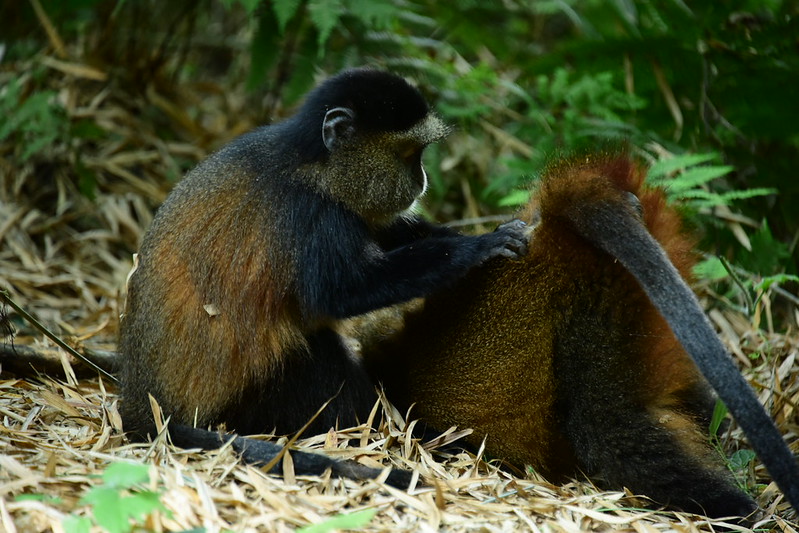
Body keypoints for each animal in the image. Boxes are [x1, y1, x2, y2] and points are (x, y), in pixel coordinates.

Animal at [118, 68, 528, 485]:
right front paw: (477, 247)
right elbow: (342, 292)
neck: (314, 163)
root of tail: (146, 402)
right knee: (318, 351)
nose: (422, 179)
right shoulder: (313, 211)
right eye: (408, 154)